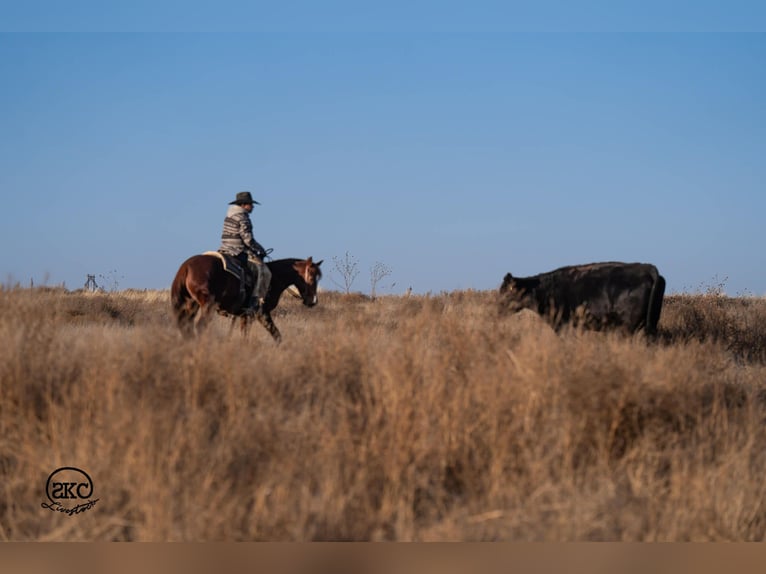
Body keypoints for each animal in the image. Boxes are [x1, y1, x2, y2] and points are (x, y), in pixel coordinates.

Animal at [171, 254, 323, 343]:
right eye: (311, 277)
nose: (313, 301)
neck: (274, 277)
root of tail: (186, 266)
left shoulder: (245, 315)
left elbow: (245, 335)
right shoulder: (261, 313)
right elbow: (277, 335)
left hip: (191, 305)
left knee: (187, 327)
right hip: (207, 305)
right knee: (200, 326)